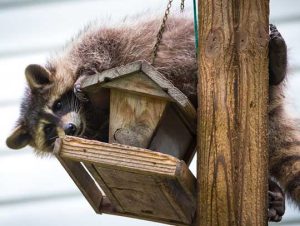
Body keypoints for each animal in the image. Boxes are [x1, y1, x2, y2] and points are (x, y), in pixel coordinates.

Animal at [5, 17, 296, 221]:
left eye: (58, 104)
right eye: (48, 131)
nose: (70, 127)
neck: (90, 116)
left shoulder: (95, 45)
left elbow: (102, 45)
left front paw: (87, 72)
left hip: (188, 48)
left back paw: (276, 66)